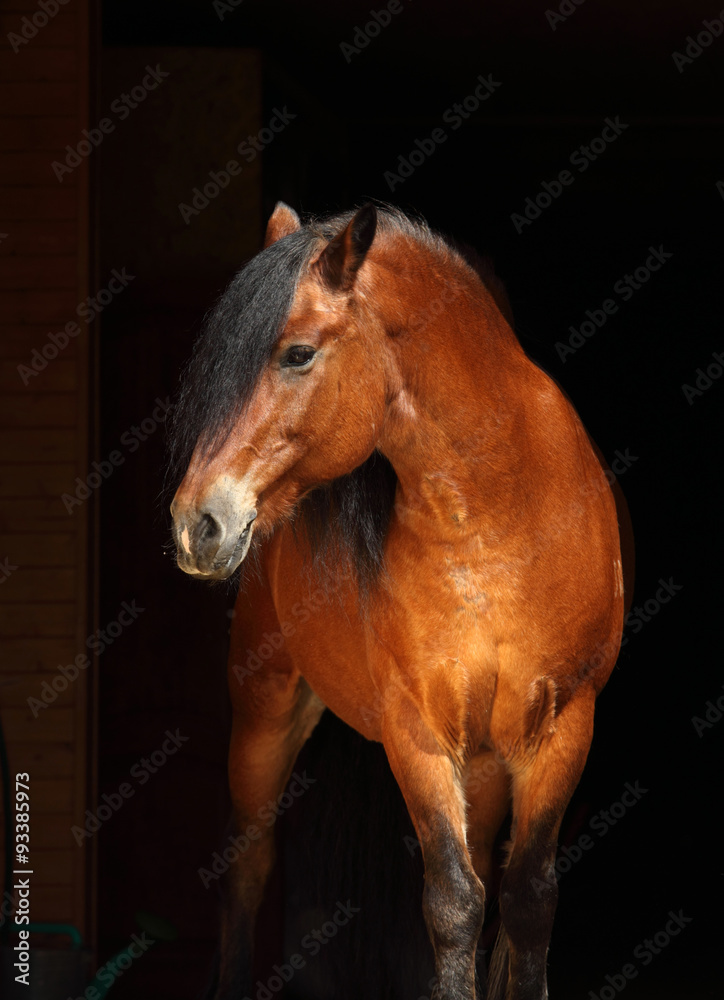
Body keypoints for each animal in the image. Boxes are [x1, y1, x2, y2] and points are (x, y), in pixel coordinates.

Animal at [168, 202, 625, 1000]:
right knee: (248, 866)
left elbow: (528, 900)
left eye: (297, 354)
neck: (496, 518)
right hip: (266, 707)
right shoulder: (417, 732)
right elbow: (453, 901)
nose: (198, 524)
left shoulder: (565, 726)